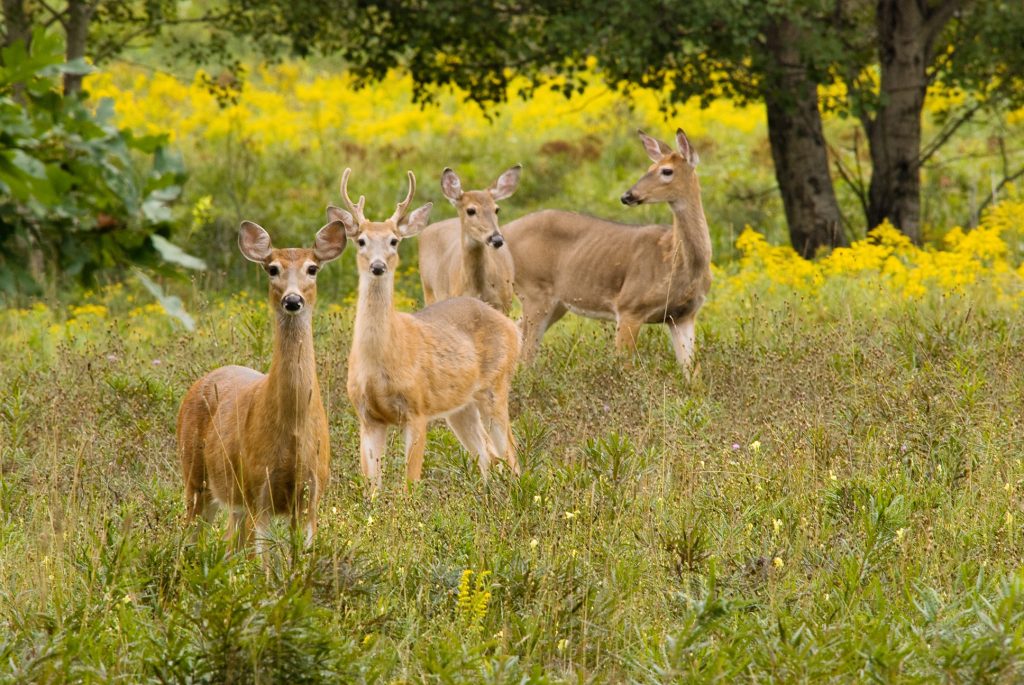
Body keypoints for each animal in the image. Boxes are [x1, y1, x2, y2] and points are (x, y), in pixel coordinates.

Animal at [176, 216, 348, 552]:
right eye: (272, 269)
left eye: (312, 268)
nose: (292, 300)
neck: (293, 430)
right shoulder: (259, 488)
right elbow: (263, 561)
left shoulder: (312, 493)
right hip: (195, 473)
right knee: (191, 535)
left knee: (229, 541)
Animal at [417, 165, 524, 315]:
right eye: (471, 210)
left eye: (497, 209)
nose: (497, 239)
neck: (478, 289)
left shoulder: (504, 304)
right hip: (428, 290)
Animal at [501, 127, 712, 374]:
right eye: (648, 169)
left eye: (666, 171)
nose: (627, 196)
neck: (676, 261)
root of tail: (503, 231)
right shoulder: (629, 306)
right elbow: (624, 366)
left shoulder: (683, 315)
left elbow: (692, 372)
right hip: (534, 291)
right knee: (526, 356)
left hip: (555, 303)